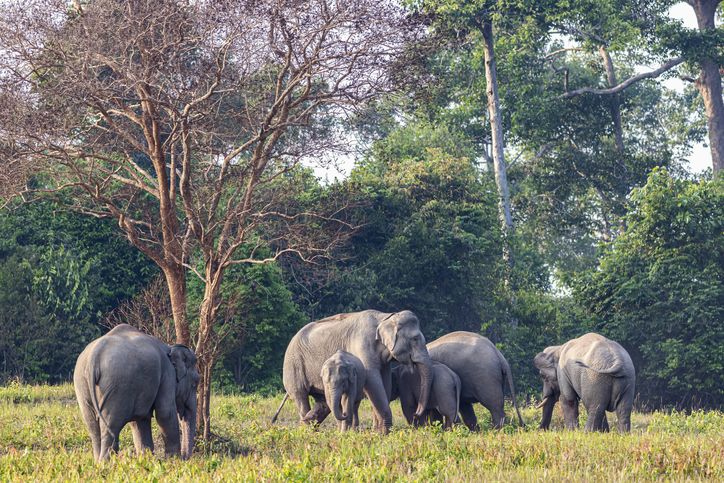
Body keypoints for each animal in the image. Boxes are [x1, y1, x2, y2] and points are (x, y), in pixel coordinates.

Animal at [73, 324, 199, 461]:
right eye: (195, 383)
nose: (186, 458)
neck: (170, 347)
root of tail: (95, 356)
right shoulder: (167, 376)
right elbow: (165, 413)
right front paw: (173, 461)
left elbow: (140, 420)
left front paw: (146, 459)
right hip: (116, 387)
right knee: (110, 427)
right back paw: (106, 463)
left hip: (82, 385)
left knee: (93, 427)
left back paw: (98, 462)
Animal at [275, 310, 433, 434]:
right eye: (415, 338)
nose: (417, 413)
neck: (385, 317)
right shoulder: (362, 345)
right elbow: (373, 381)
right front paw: (384, 433)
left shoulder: (384, 361)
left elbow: (385, 382)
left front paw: (379, 431)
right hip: (293, 367)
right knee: (301, 397)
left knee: (322, 402)